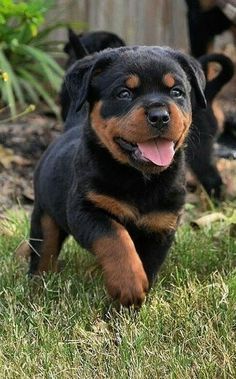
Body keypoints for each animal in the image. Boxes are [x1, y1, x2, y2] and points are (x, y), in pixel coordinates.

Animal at [29, 46, 206, 308]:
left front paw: (125, 307)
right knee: (43, 251)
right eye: (124, 93)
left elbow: (146, 265)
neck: (140, 179)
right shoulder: (86, 209)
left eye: (177, 92)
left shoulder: (161, 226)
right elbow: (115, 238)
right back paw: (37, 288)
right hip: (44, 215)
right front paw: (128, 284)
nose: (159, 115)